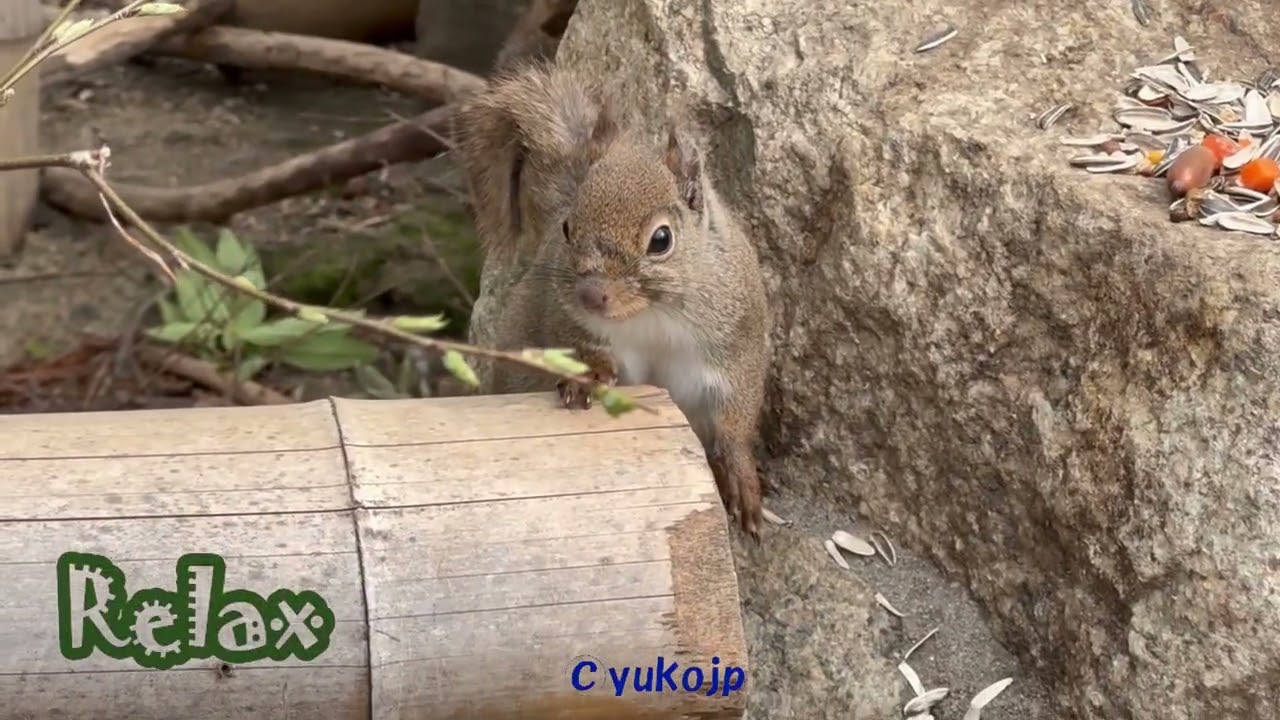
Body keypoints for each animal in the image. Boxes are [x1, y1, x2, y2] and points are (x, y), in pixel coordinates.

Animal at [455, 62, 772, 540]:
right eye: (567, 228)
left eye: (661, 239)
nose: (590, 295)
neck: (654, 312)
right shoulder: (570, 321)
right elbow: (583, 348)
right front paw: (587, 377)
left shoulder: (736, 345)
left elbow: (735, 415)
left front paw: (742, 478)